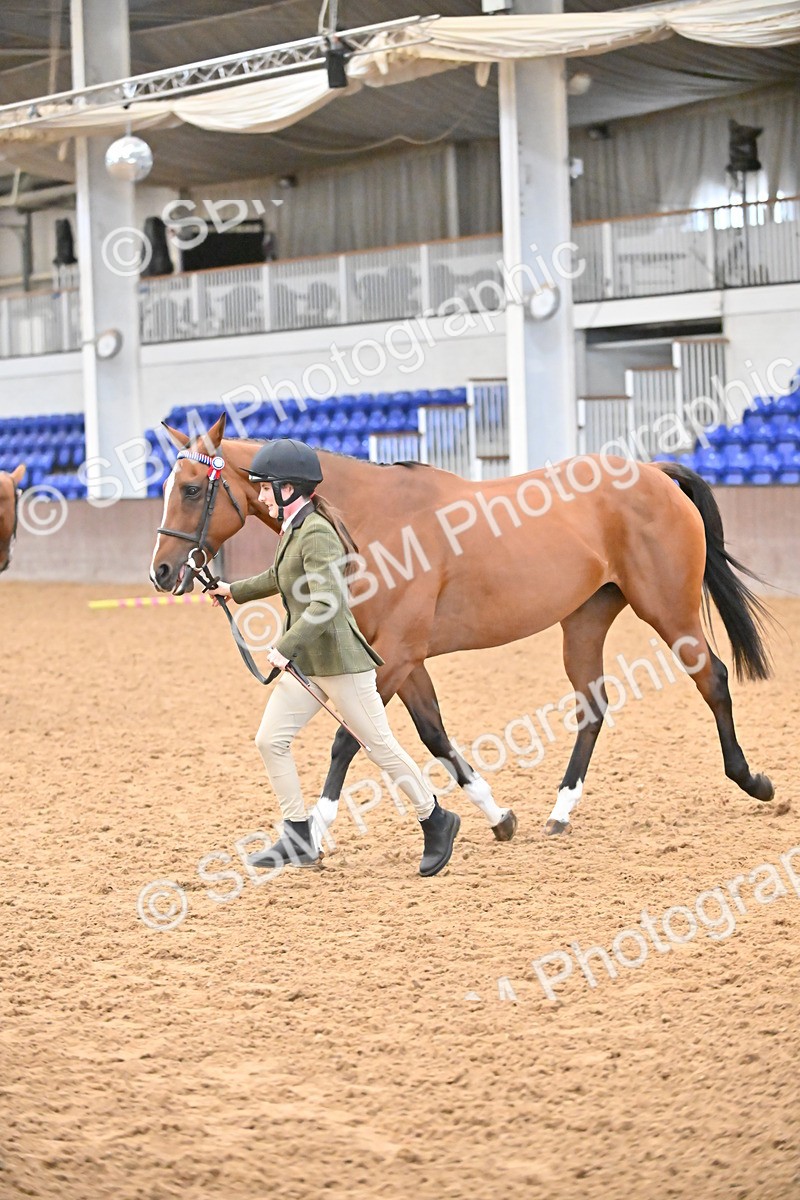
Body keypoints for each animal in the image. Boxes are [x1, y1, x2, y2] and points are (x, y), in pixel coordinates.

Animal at [149, 414, 774, 842]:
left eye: (192, 489)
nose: (162, 572)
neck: (368, 520)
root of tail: (656, 475)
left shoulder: (395, 654)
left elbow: (350, 740)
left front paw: (318, 830)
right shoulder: (402, 659)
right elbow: (433, 736)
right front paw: (499, 817)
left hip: (669, 610)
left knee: (713, 679)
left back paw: (753, 782)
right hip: (585, 621)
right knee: (592, 708)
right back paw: (559, 812)